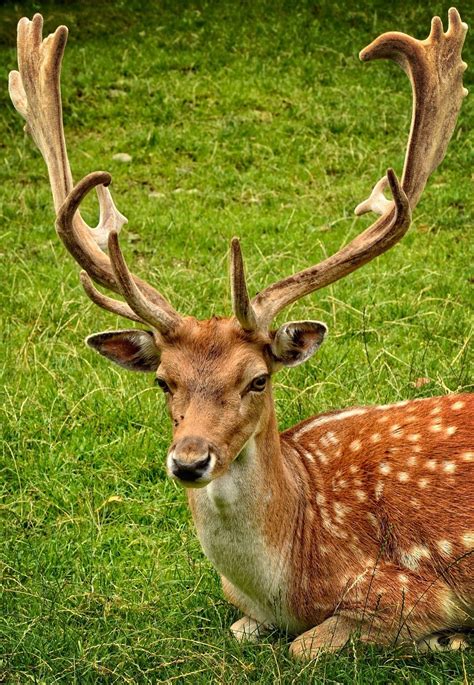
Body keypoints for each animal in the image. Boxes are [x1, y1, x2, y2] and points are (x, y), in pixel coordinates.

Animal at [9, 6, 472, 656]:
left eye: (257, 379)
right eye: (163, 381)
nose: (189, 460)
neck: (288, 581)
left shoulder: (409, 590)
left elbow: (304, 647)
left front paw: (445, 640)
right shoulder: (245, 611)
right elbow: (239, 632)